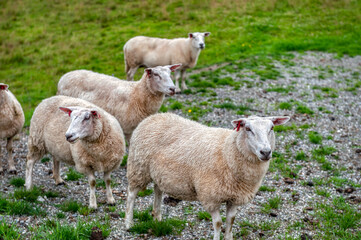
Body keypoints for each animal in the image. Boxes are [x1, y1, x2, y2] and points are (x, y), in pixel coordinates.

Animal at [125, 113, 288, 240]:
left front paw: (228, 237)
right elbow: (218, 223)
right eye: (248, 129)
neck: (228, 152)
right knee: (131, 194)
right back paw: (128, 223)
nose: (265, 152)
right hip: (138, 167)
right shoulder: (210, 196)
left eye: (272, 128)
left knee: (157, 190)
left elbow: (230, 221)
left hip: (159, 173)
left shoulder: (235, 196)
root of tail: (153, 116)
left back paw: (157, 218)